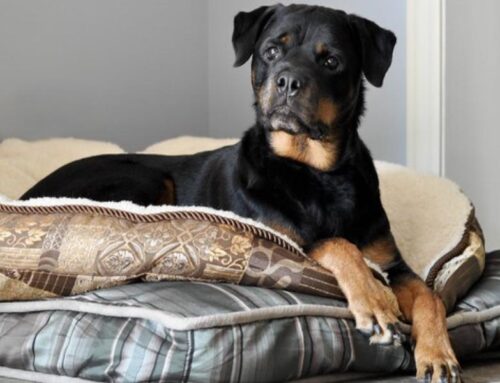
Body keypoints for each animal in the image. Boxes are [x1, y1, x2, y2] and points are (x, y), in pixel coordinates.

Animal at [23, 4, 460, 382]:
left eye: (331, 60)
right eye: (271, 50)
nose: (288, 81)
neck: (314, 169)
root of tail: (30, 194)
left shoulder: (392, 261)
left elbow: (430, 297)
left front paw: (438, 356)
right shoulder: (289, 239)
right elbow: (337, 243)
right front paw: (376, 303)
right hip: (144, 179)